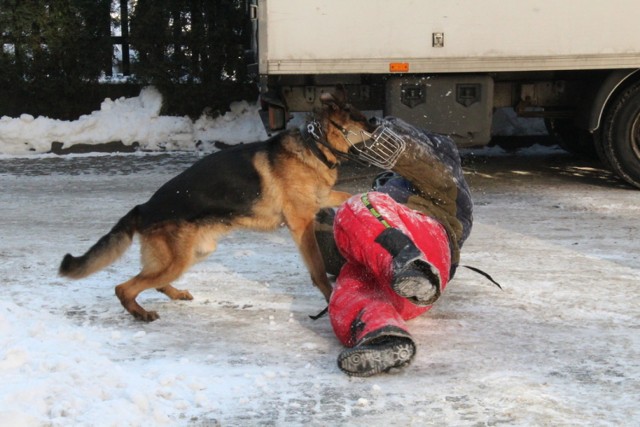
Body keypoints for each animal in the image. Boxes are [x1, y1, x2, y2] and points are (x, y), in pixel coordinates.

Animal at [58, 88, 376, 320]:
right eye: (356, 115)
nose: (374, 123)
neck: (313, 145)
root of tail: (142, 208)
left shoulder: (320, 198)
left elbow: (344, 194)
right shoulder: (301, 224)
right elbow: (318, 269)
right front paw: (329, 297)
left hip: (193, 252)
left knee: (151, 280)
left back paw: (175, 294)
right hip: (177, 260)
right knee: (124, 287)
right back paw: (141, 313)